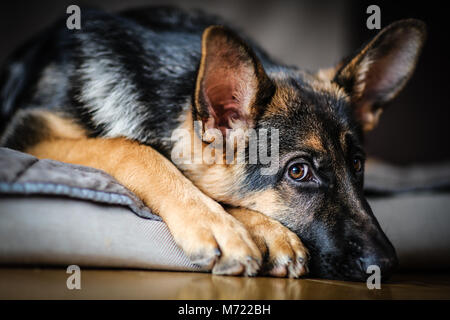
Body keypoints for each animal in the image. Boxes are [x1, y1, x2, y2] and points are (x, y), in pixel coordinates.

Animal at [0, 5, 426, 280]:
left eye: (356, 164)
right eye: (299, 171)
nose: (387, 266)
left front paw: (264, 230)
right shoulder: (27, 135)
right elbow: (130, 147)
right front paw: (217, 223)